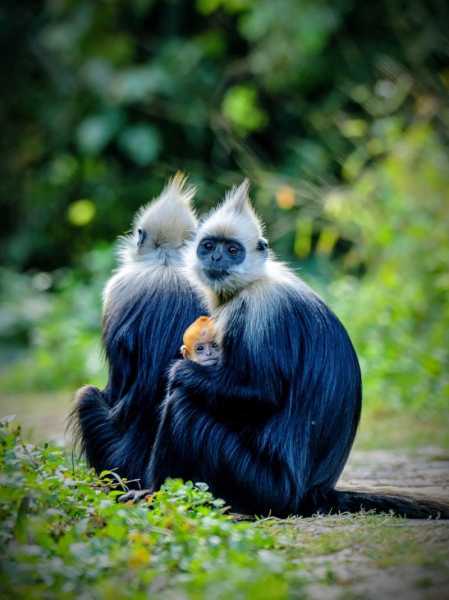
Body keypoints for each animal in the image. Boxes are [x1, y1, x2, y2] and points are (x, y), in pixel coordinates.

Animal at [136, 179, 448, 520]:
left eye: (232, 250)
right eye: (208, 246)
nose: (216, 259)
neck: (253, 282)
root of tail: (313, 494)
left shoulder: (260, 310)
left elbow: (262, 392)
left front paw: (179, 371)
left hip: (261, 485)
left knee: (184, 406)